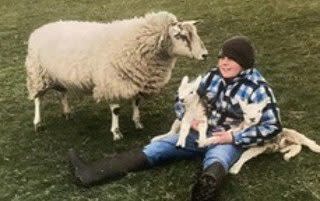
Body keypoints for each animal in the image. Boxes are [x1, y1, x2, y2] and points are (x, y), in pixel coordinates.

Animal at [26, 11, 209, 140]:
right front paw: (116, 132)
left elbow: (136, 102)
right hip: (37, 73)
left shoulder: (137, 79)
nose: (205, 55)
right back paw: (38, 123)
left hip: (57, 75)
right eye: (181, 35)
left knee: (62, 93)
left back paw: (67, 113)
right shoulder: (111, 82)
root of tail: (40, 29)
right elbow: (116, 110)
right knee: (38, 99)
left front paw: (138, 123)